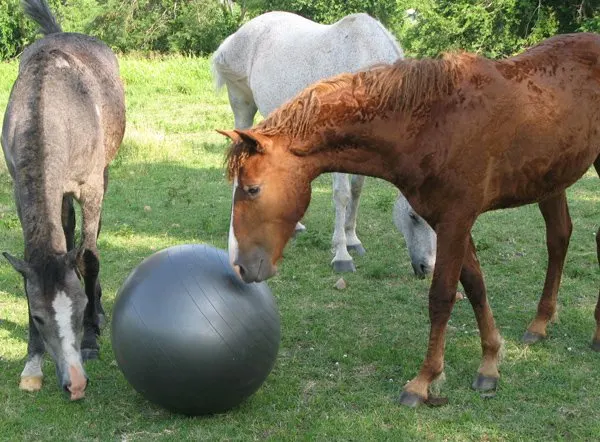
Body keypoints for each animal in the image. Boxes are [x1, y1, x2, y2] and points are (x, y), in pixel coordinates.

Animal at [1, 0, 125, 400]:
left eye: (77, 307)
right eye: (39, 317)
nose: (76, 383)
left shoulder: (91, 186)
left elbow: (89, 256)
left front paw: (90, 337)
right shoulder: (20, 189)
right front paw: (32, 361)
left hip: (103, 173)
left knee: (91, 237)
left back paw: (100, 314)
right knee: (69, 229)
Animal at [212, 11, 436, 276]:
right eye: (413, 216)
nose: (427, 267)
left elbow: (357, 189)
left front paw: (352, 240)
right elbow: (342, 195)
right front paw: (342, 254)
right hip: (242, 104)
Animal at [221, 33, 600, 408]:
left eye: (252, 189)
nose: (241, 266)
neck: (431, 124)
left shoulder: (455, 220)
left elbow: (442, 297)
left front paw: (424, 381)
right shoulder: (452, 221)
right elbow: (475, 286)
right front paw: (490, 364)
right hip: (551, 180)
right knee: (559, 237)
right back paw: (540, 323)